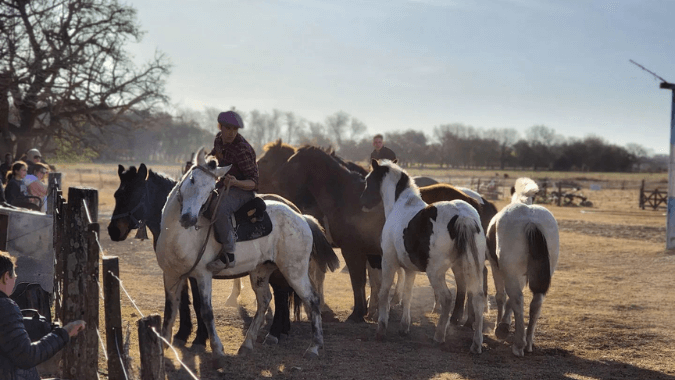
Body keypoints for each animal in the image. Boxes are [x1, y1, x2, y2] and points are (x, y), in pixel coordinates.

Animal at [158, 148, 328, 366]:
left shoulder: (202, 275)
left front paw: (217, 350)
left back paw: (314, 346)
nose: (189, 218)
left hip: (294, 272)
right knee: (264, 301)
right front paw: (163, 344)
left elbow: (206, 311)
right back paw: (247, 344)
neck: (178, 236)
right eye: (192, 180)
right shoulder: (171, 275)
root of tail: (302, 218)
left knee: (312, 300)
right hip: (261, 271)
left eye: (211, 189)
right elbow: (170, 310)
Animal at [360, 160, 486, 354]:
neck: (401, 205)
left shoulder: (388, 262)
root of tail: (462, 216)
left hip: (435, 273)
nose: (362, 202)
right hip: (470, 267)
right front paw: (404, 327)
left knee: (446, 298)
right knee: (478, 298)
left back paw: (439, 337)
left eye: (368, 179)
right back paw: (476, 344)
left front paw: (381, 329)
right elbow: (407, 295)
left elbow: (384, 292)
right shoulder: (409, 269)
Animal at [486, 177, 560, 356]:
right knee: (535, 303)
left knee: (518, 299)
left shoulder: (496, 267)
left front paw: (500, 327)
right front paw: (504, 325)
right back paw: (528, 342)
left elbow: (501, 297)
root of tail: (531, 221)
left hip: (509, 271)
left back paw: (519, 345)